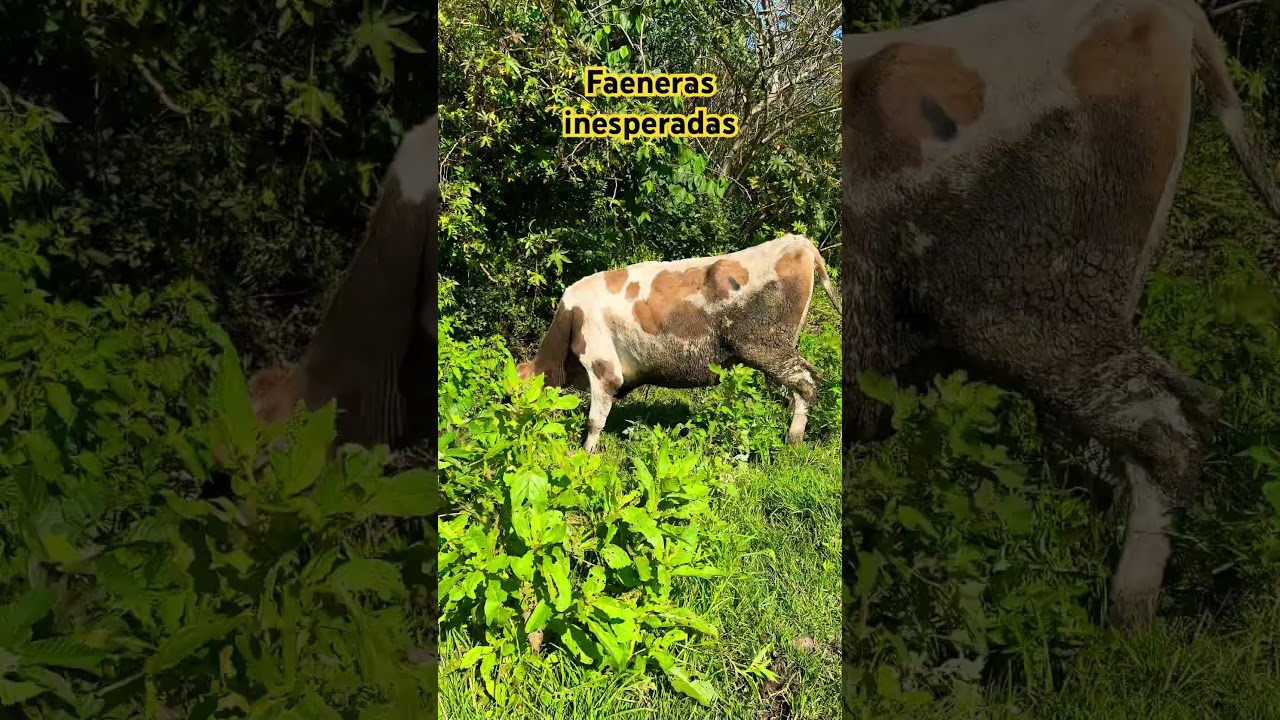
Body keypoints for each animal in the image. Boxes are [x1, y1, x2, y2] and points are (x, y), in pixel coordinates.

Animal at [516, 233, 840, 454]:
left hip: (765, 346)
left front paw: (585, 454)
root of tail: (796, 241)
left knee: (807, 382)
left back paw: (794, 439)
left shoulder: (603, 367)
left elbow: (594, 421)